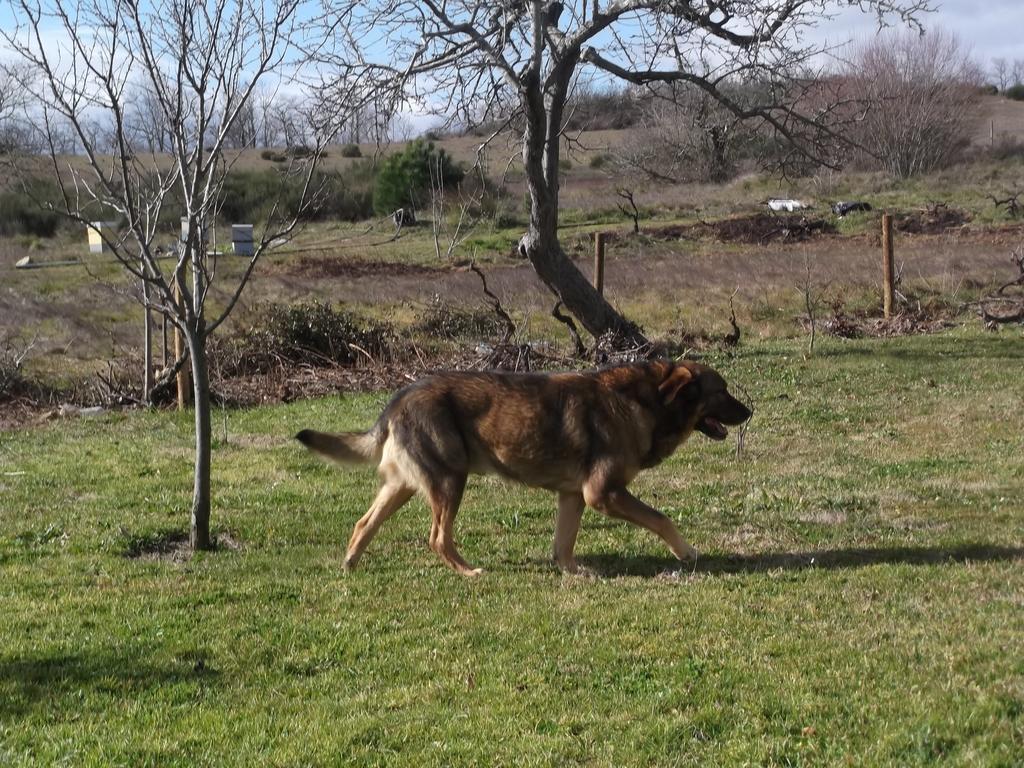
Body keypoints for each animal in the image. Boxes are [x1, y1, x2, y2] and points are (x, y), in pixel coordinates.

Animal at [296, 360, 753, 577]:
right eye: (722, 391)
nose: (750, 412)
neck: (648, 402)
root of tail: (396, 401)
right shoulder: (603, 494)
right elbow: (661, 519)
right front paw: (686, 552)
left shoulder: (573, 497)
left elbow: (564, 544)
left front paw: (574, 573)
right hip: (450, 481)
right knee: (438, 538)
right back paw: (468, 571)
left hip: (404, 487)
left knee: (364, 523)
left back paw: (350, 563)